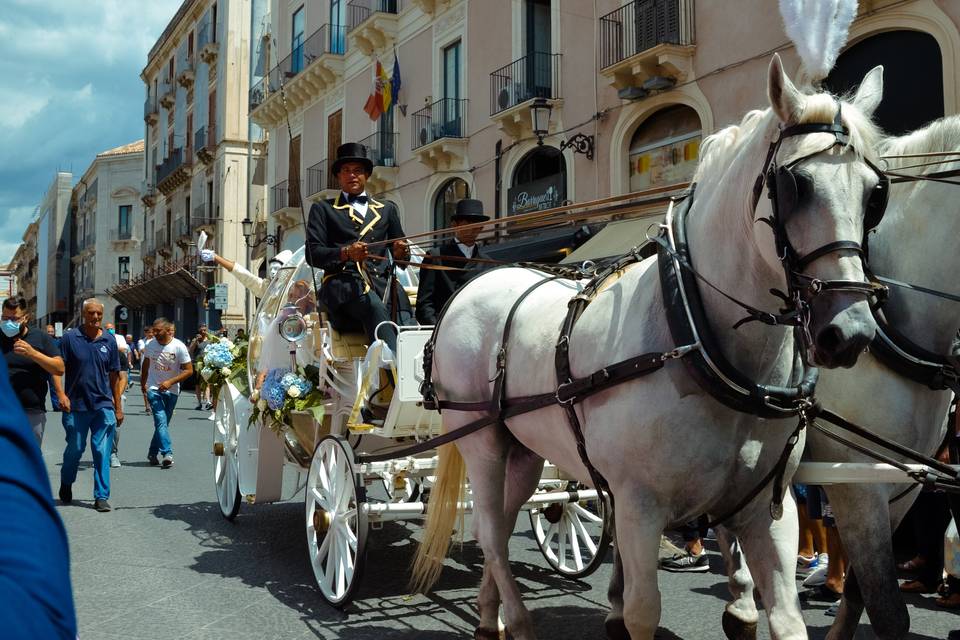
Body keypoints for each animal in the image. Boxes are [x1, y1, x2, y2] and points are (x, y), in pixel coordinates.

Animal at [412, 55, 884, 640]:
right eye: (795, 184)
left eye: (874, 192)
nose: (850, 331)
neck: (698, 341)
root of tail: (473, 285)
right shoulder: (638, 507)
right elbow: (640, 610)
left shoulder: (767, 508)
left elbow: (787, 616)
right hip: (481, 442)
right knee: (491, 535)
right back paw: (517, 621)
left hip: (523, 450)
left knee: (495, 521)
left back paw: (488, 615)